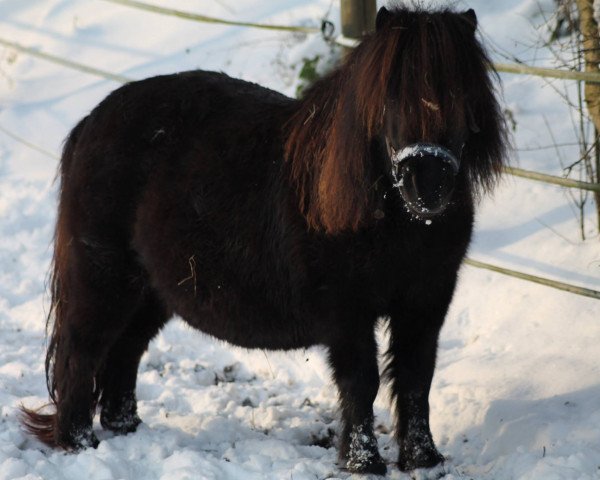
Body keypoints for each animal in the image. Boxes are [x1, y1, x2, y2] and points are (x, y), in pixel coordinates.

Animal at [22, 5, 506, 474]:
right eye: (388, 97)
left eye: (463, 96)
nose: (427, 185)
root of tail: (92, 121)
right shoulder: (346, 311)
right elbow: (362, 381)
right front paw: (364, 463)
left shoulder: (426, 301)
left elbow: (415, 377)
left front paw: (424, 460)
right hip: (105, 280)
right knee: (82, 350)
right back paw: (78, 442)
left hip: (152, 291)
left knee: (125, 350)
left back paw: (126, 427)